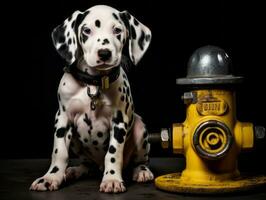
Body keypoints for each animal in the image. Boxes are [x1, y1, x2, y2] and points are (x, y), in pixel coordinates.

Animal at [30, 5, 153, 194]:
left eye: (117, 30)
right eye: (86, 31)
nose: (104, 53)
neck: (94, 83)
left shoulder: (119, 122)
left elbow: (113, 153)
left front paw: (112, 179)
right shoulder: (62, 119)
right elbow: (59, 153)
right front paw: (51, 177)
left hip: (139, 128)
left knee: (140, 161)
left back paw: (141, 171)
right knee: (88, 165)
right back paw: (75, 170)